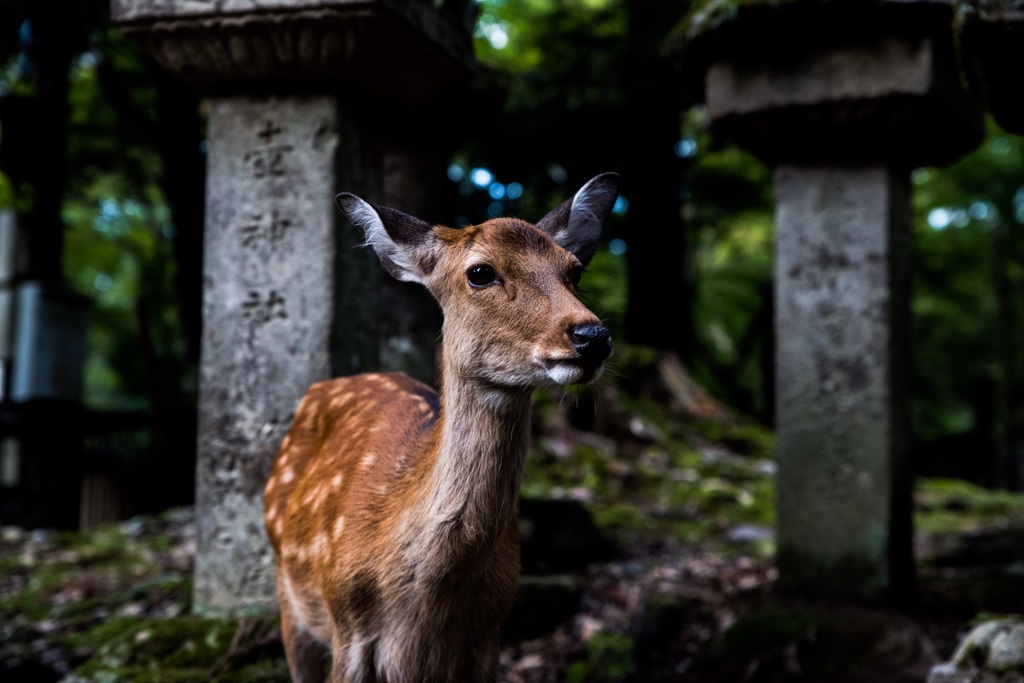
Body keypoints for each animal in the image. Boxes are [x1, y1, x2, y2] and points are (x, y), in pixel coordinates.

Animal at [260, 172, 618, 683]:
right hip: (291, 604)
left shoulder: (488, 640)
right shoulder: (348, 631)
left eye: (574, 272)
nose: (592, 336)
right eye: (480, 272)